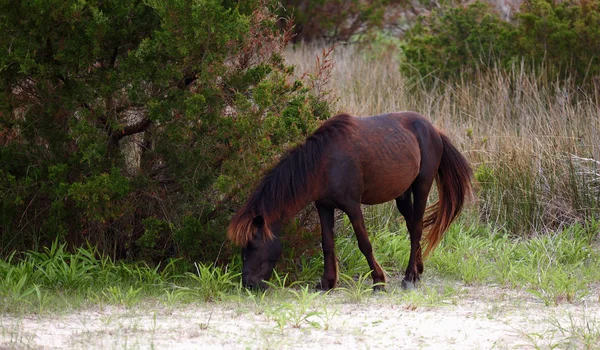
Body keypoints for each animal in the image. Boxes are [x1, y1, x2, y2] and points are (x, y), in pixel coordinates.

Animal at [226, 112, 474, 290]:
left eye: (254, 245)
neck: (323, 163)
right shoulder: (323, 207)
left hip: (421, 187)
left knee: (417, 230)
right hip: (402, 196)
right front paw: (327, 283)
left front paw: (378, 280)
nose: (247, 284)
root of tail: (433, 129)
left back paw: (409, 277)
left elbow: (364, 243)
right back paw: (417, 270)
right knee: (413, 226)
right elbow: (327, 244)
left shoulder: (353, 207)